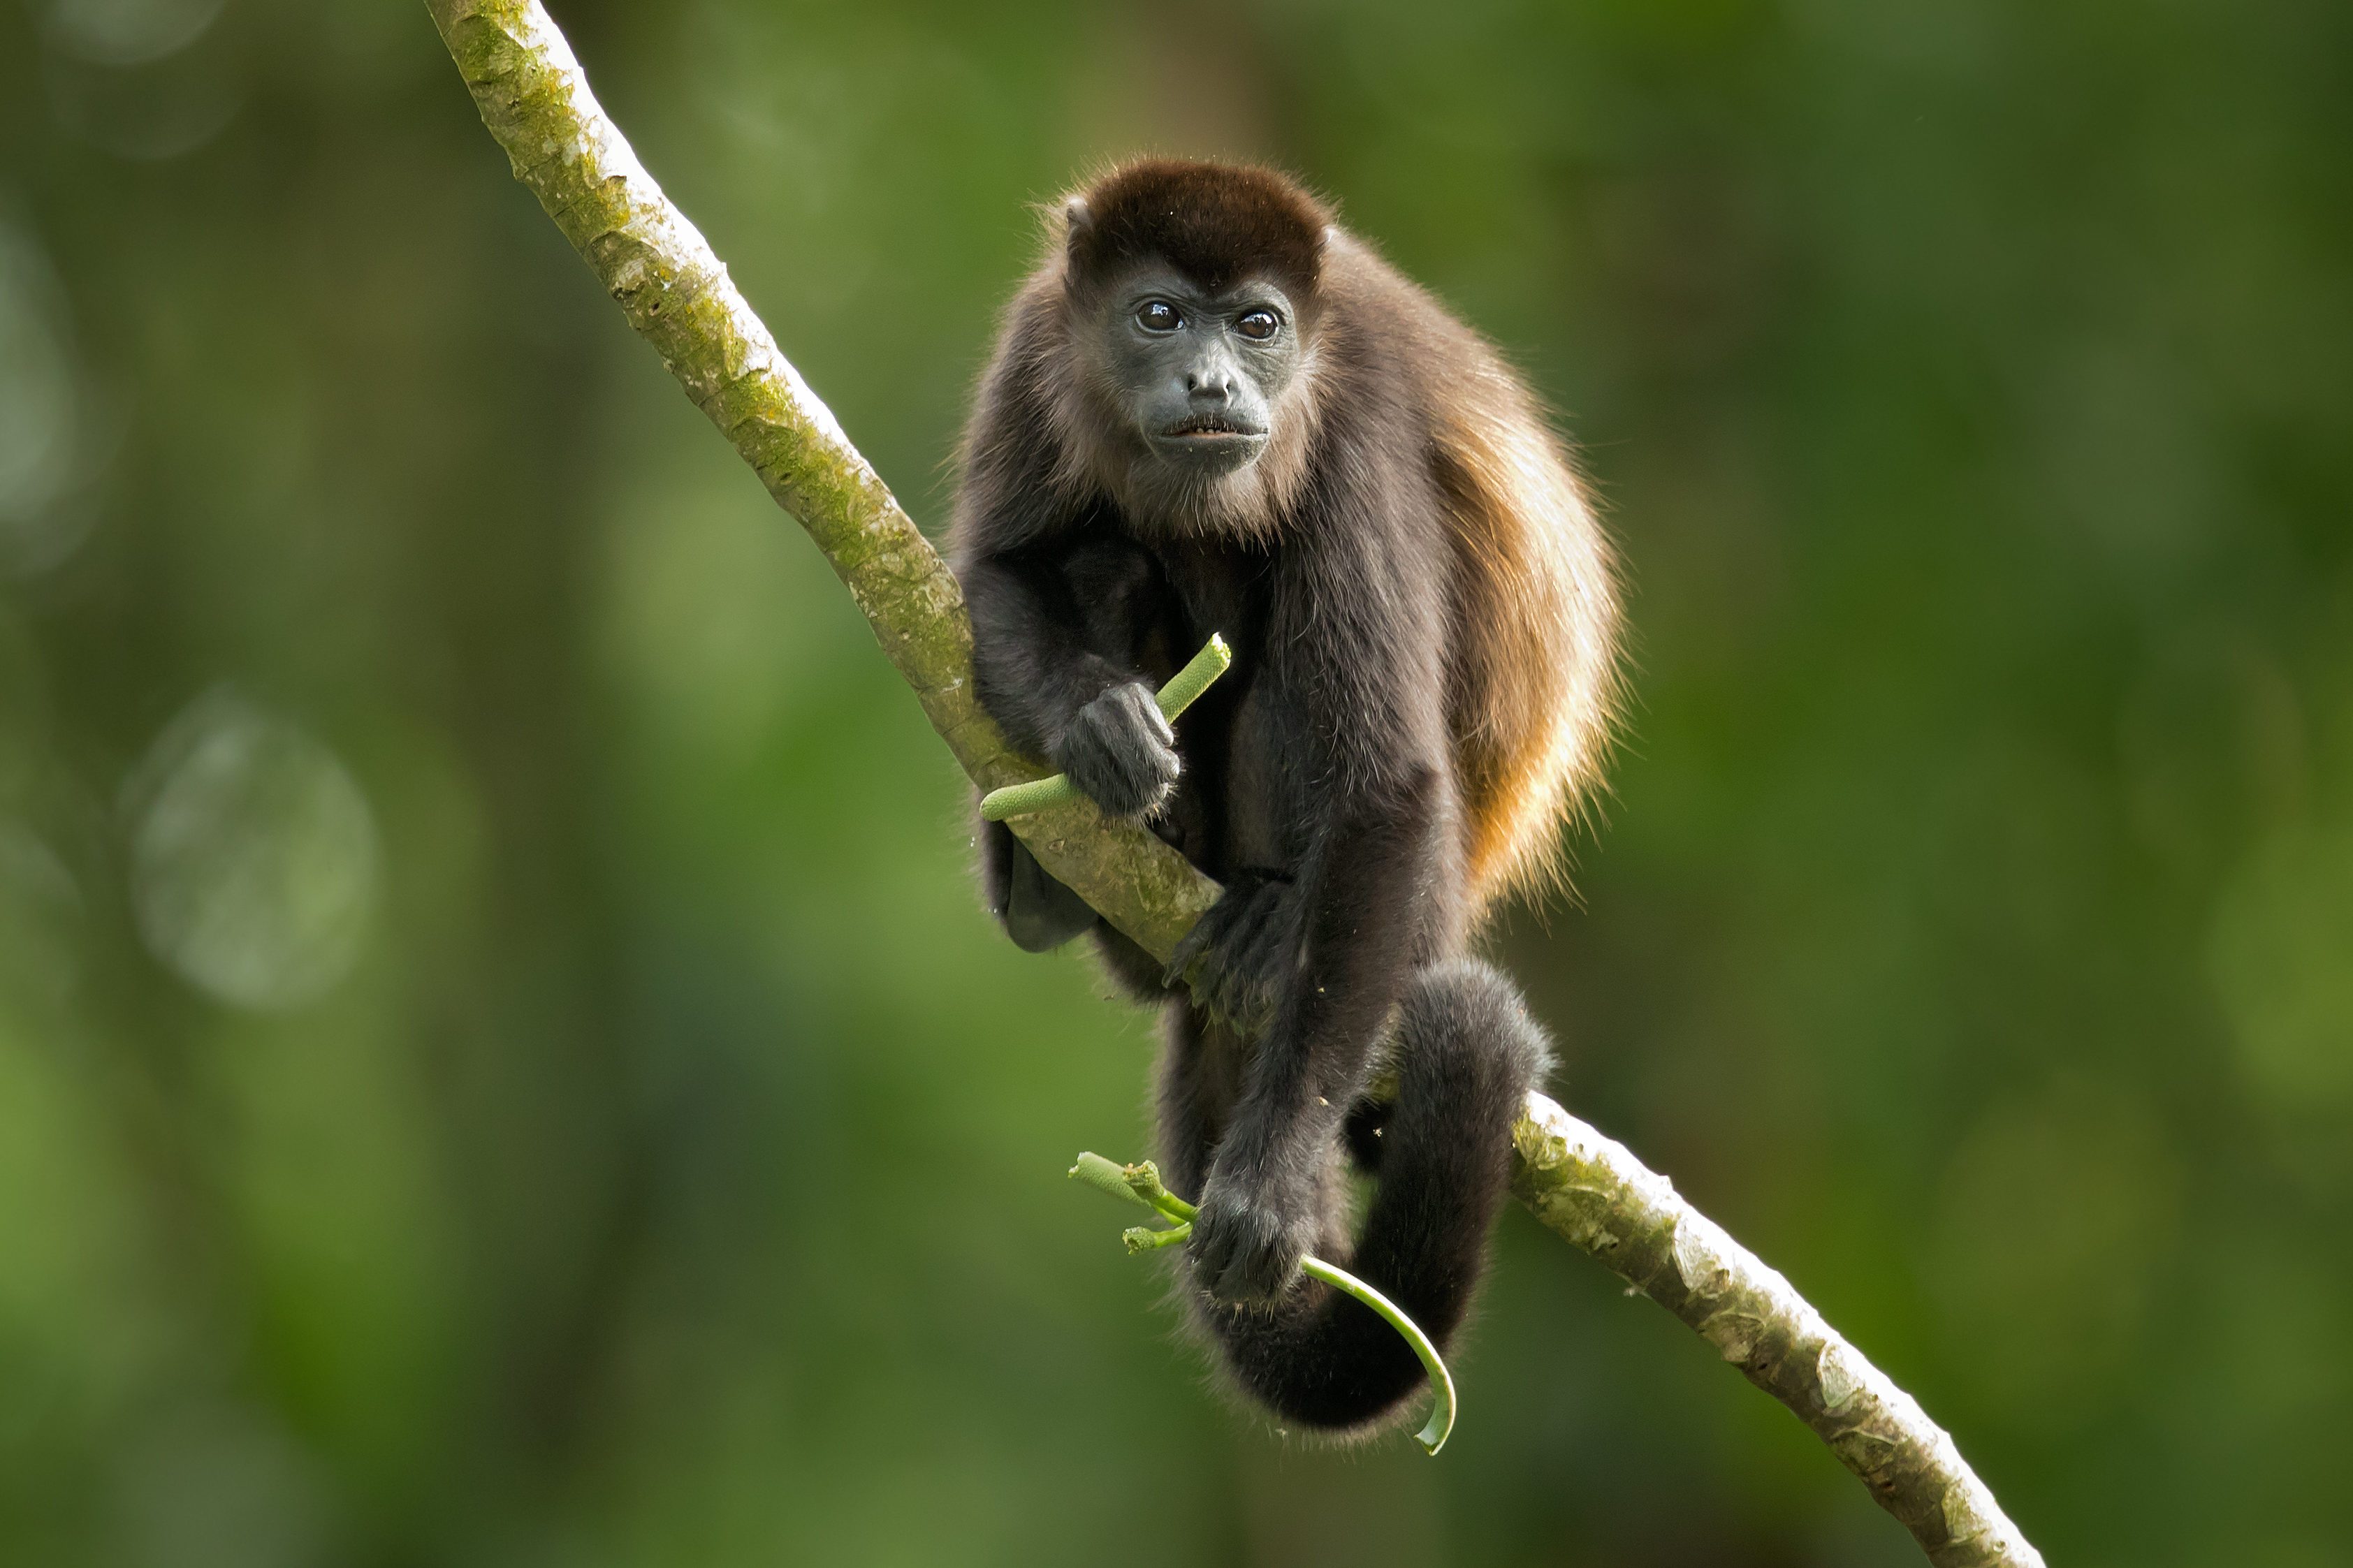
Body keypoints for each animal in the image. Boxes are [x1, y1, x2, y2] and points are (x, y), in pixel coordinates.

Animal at [950, 159, 1619, 1438]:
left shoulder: (1355, 429)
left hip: (1421, 911)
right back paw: (1049, 890)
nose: (1212, 380)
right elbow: (997, 572)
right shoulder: (1030, 350)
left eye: (1258, 327)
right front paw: (1096, 723)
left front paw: (1271, 1180)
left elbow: (1389, 782)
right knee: (1107, 556)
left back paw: (1266, 922)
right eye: (1159, 315)